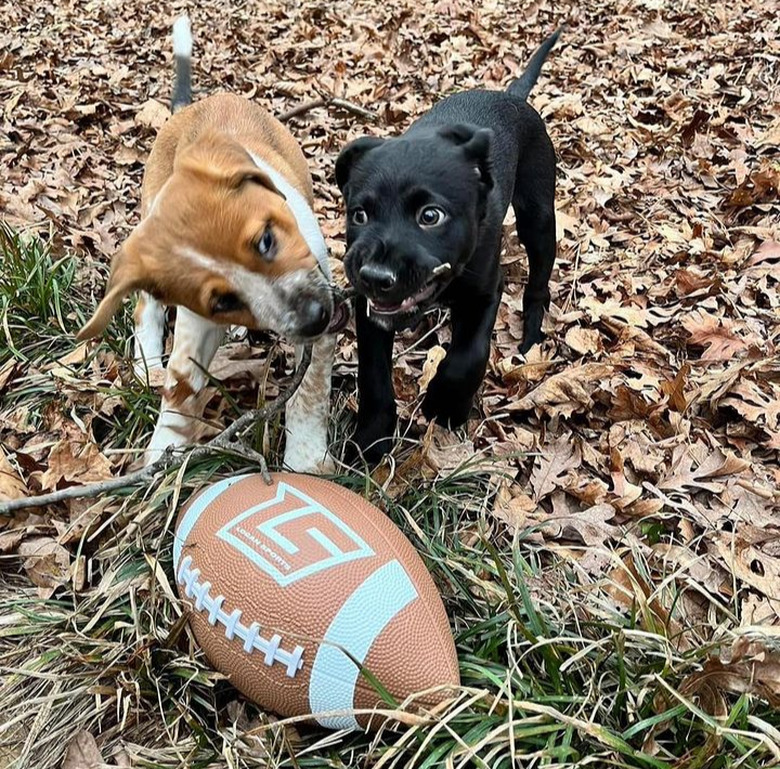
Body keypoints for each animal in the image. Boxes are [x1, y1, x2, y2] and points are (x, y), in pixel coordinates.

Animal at [79, 18, 344, 472]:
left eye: (267, 240)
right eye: (222, 300)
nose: (314, 316)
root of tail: (189, 109)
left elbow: (308, 393)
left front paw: (305, 460)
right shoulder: (197, 322)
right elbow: (181, 386)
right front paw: (163, 453)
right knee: (145, 309)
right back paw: (147, 361)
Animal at [336, 31, 560, 462]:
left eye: (430, 216)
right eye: (359, 215)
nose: (375, 276)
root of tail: (512, 96)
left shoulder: (485, 292)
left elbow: (470, 355)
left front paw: (446, 405)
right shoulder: (369, 310)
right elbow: (373, 377)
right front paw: (370, 440)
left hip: (538, 218)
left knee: (539, 283)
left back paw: (530, 336)